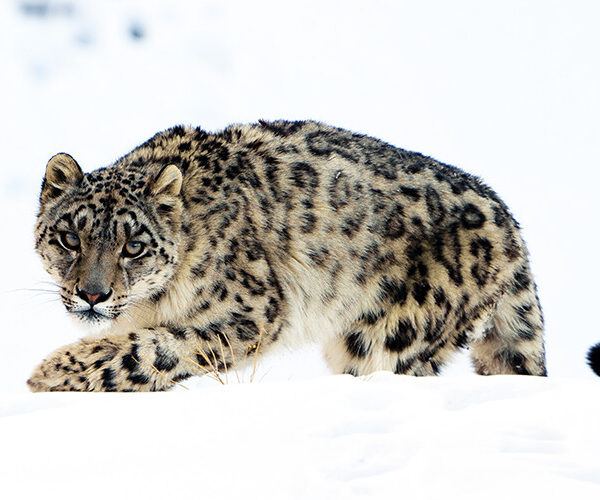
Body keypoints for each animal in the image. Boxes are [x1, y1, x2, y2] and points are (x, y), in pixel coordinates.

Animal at [28, 120, 548, 390]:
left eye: (133, 246)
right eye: (70, 238)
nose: (92, 294)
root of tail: (508, 220)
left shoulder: (249, 313)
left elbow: (152, 351)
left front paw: (49, 374)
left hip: (390, 338)